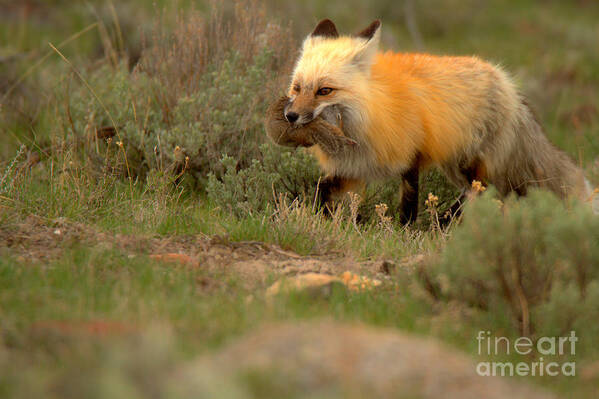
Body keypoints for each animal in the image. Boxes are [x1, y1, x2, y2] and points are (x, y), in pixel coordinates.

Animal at [274, 18, 596, 223]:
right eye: (297, 88)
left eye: (324, 91)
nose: (290, 116)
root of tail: (505, 81)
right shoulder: (355, 167)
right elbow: (321, 190)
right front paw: (316, 218)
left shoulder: (410, 157)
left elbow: (408, 203)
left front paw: (404, 231)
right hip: (454, 165)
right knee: (480, 194)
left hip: (470, 164)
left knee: (481, 192)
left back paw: (443, 222)